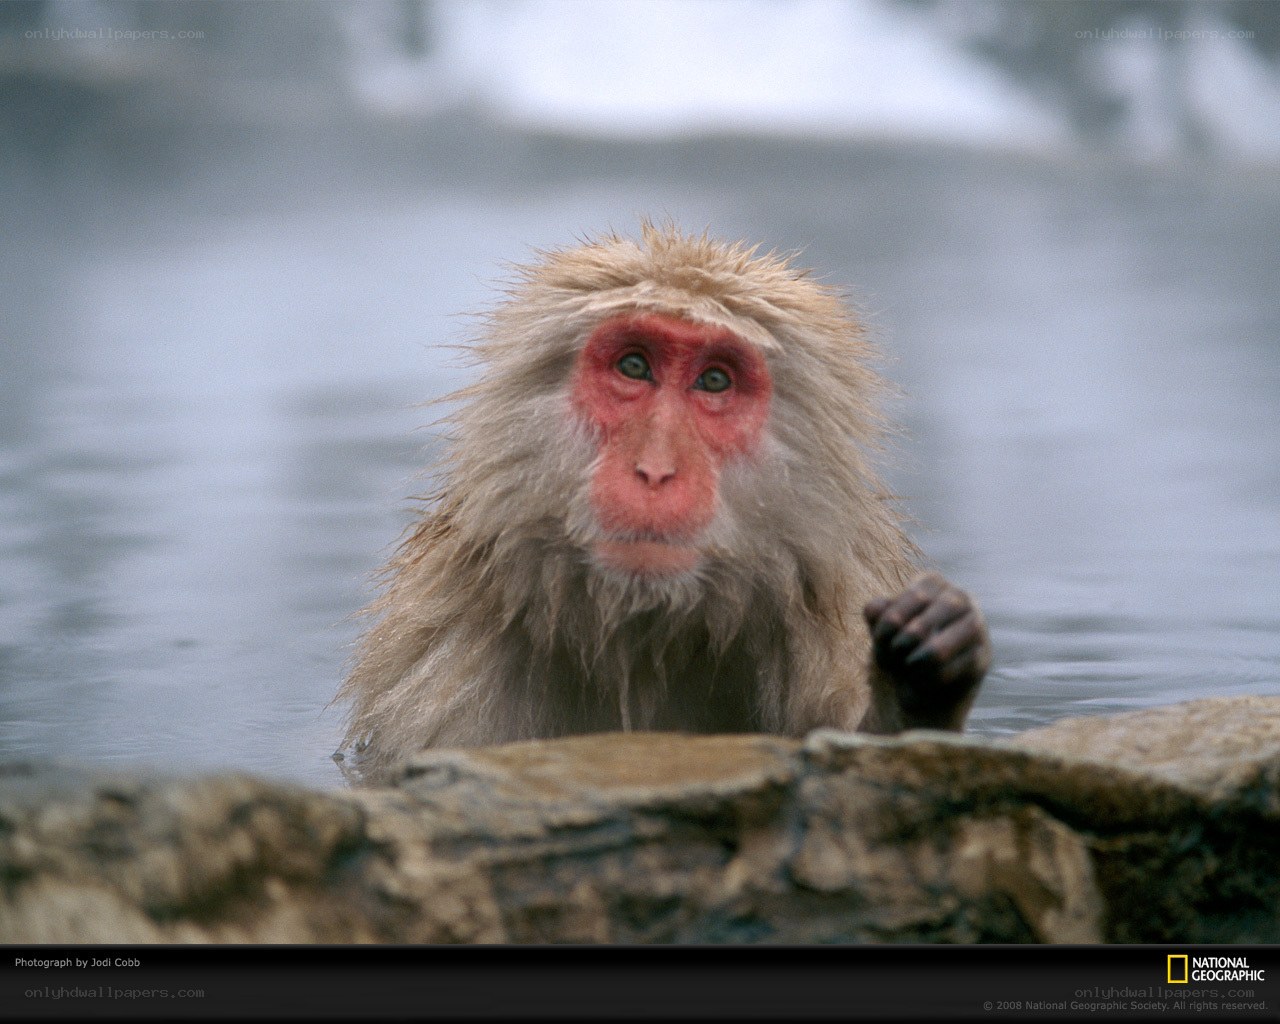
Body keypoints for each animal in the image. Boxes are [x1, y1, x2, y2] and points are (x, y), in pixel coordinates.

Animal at [335, 223, 991, 786]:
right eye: (634, 366)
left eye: (715, 381)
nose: (654, 469)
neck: (648, 632)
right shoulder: (451, 659)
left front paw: (920, 679)